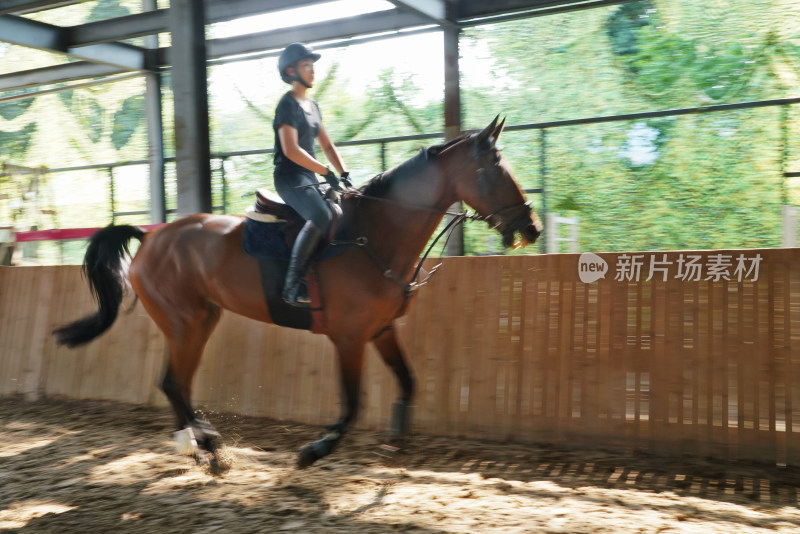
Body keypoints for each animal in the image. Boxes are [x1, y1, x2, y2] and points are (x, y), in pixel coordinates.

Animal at [53, 116, 544, 468]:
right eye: (493, 170)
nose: (531, 227)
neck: (376, 235)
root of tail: (151, 238)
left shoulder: (382, 330)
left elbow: (408, 382)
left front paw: (397, 439)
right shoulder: (349, 338)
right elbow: (352, 402)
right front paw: (315, 450)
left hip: (201, 319)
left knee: (177, 382)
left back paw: (203, 443)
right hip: (184, 322)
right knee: (174, 382)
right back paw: (207, 447)